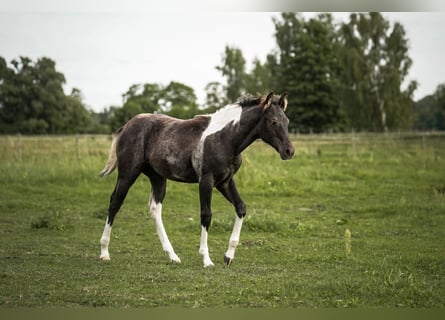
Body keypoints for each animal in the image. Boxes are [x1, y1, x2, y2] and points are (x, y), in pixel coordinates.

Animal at [98, 92, 294, 268]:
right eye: (273, 122)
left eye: (287, 121)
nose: (289, 151)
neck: (226, 138)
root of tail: (126, 126)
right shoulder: (206, 181)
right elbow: (206, 215)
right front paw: (207, 259)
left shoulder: (225, 182)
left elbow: (241, 208)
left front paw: (228, 256)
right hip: (128, 173)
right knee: (115, 202)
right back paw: (104, 252)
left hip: (158, 177)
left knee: (155, 209)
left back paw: (173, 256)